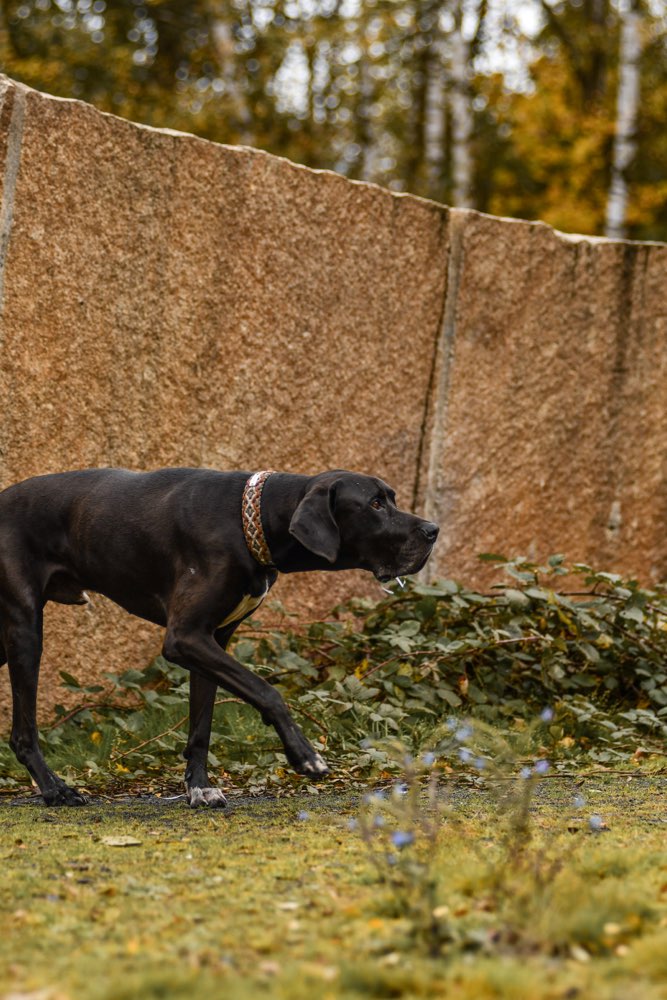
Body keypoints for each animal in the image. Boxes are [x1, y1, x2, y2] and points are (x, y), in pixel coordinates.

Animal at [0, 468, 438, 804]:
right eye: (375, 504)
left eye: (392, 498)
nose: (433, 530)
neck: (253, 520)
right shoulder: (185, 638)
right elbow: (267, 691)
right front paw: (303, 755)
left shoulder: (211, 640)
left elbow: (202, 725)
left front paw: (199, 787)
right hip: (25, 630)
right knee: (23, 732)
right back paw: (55, 790)